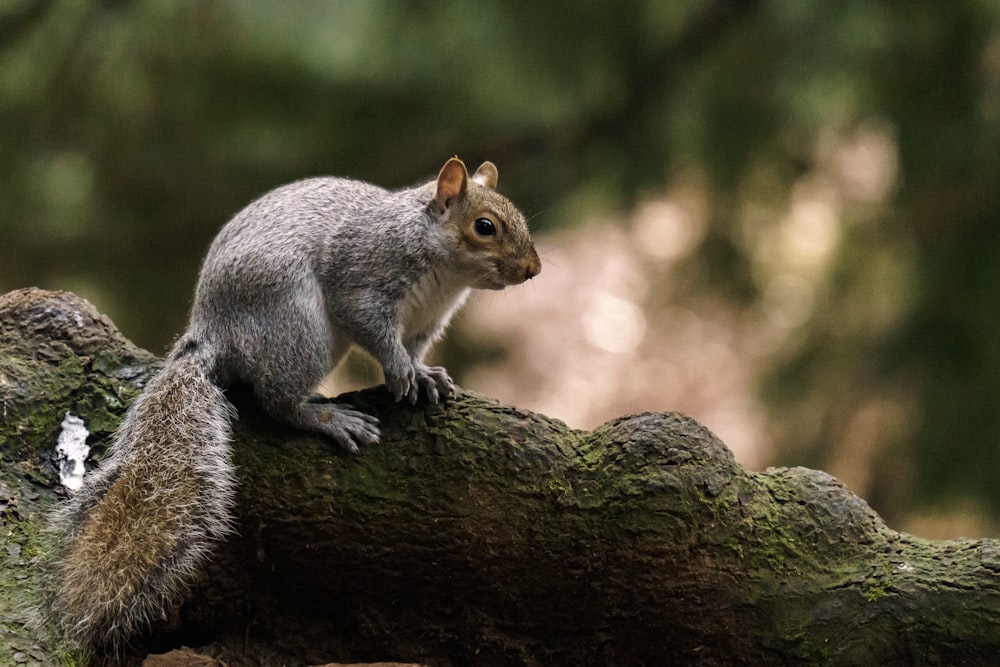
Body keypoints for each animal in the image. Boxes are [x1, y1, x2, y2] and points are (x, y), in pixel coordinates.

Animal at [41, 157, 540, 652]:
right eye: (485, 227)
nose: (533, 270)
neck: (443, 275)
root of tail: (213, 330)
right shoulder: (366, 276)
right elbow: (373, 328)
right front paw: (400, 372)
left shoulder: (426, 320)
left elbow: (414, 349)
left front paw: (424, 375)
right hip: (298, 326)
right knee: (275, 399)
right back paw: (327, 418)